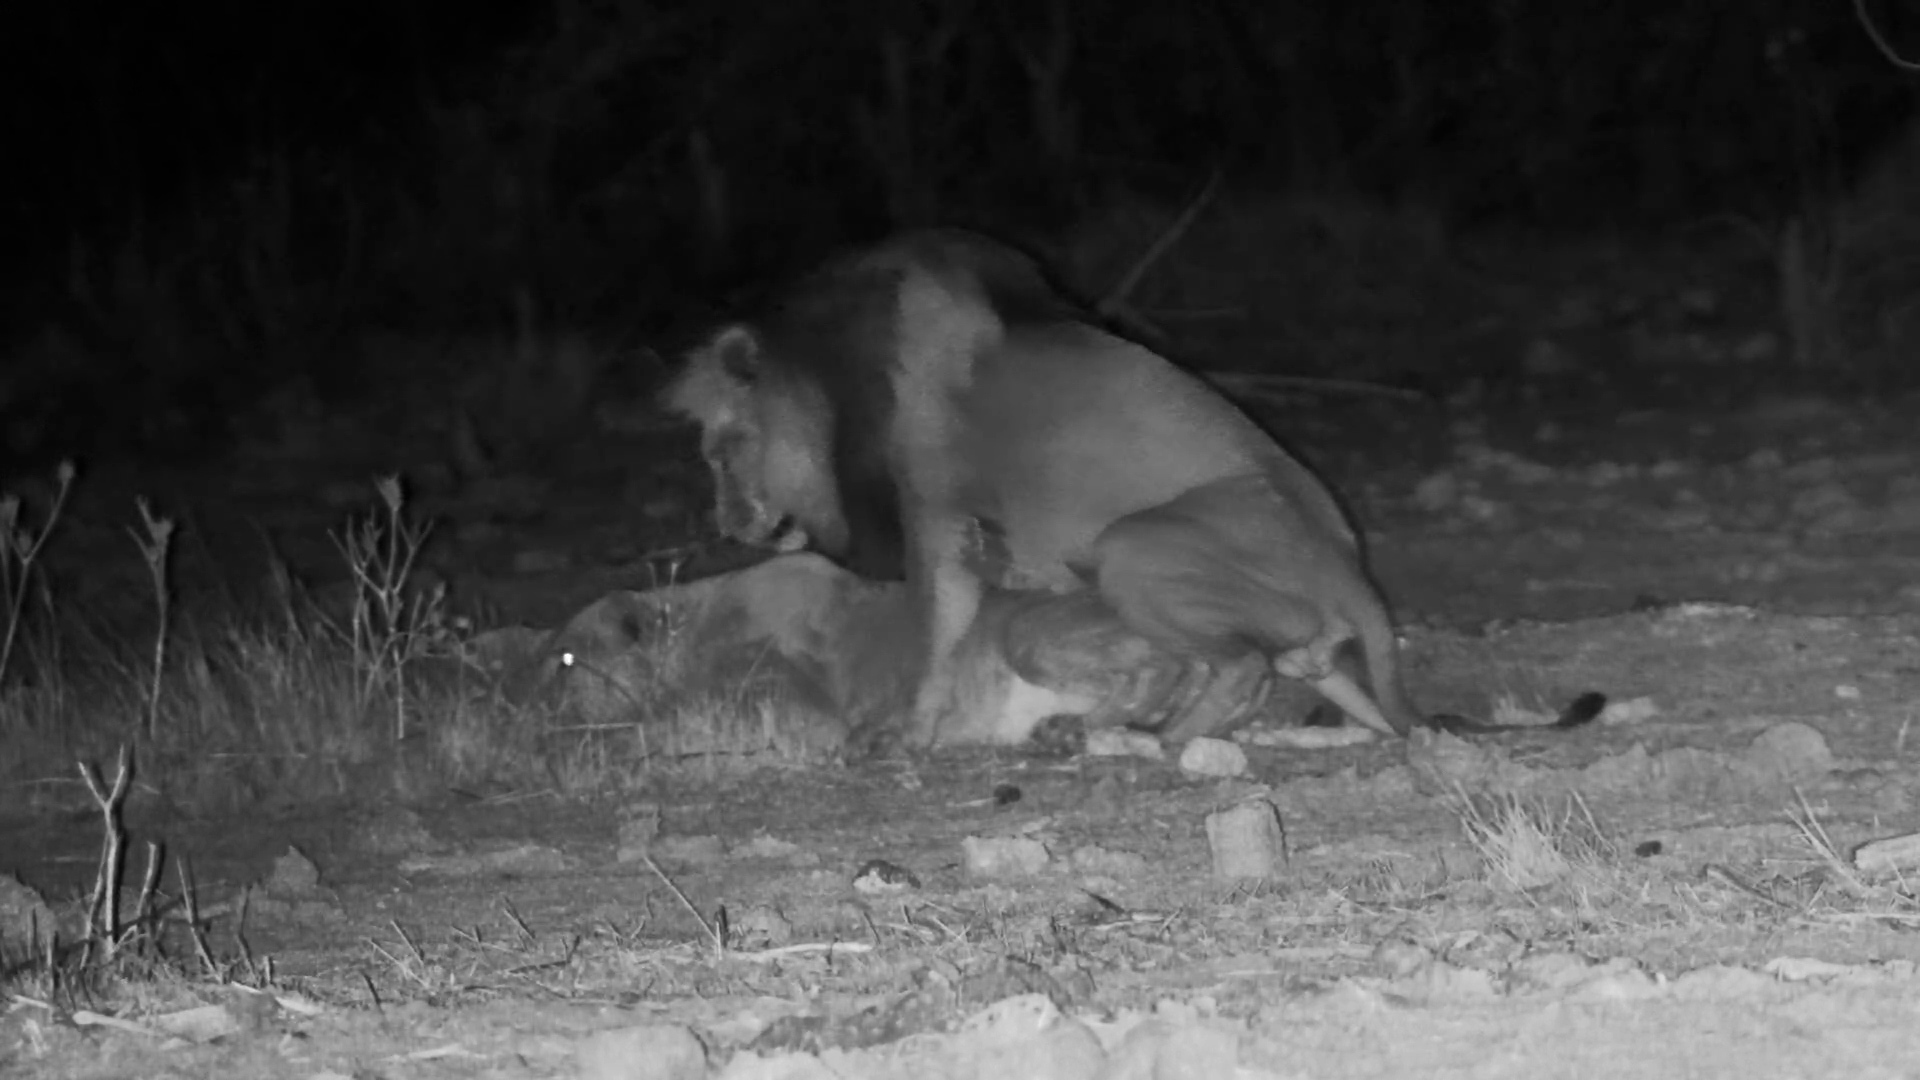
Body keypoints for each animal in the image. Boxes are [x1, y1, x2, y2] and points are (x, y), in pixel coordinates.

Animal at [663, 228, 1419, 746]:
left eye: (724, 452)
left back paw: (1153, 741)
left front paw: (909, 731)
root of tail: (1350, 566)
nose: (726, 526)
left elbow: (937, 628)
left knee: (1239, 667)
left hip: (1131, 547)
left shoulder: (932, 508)